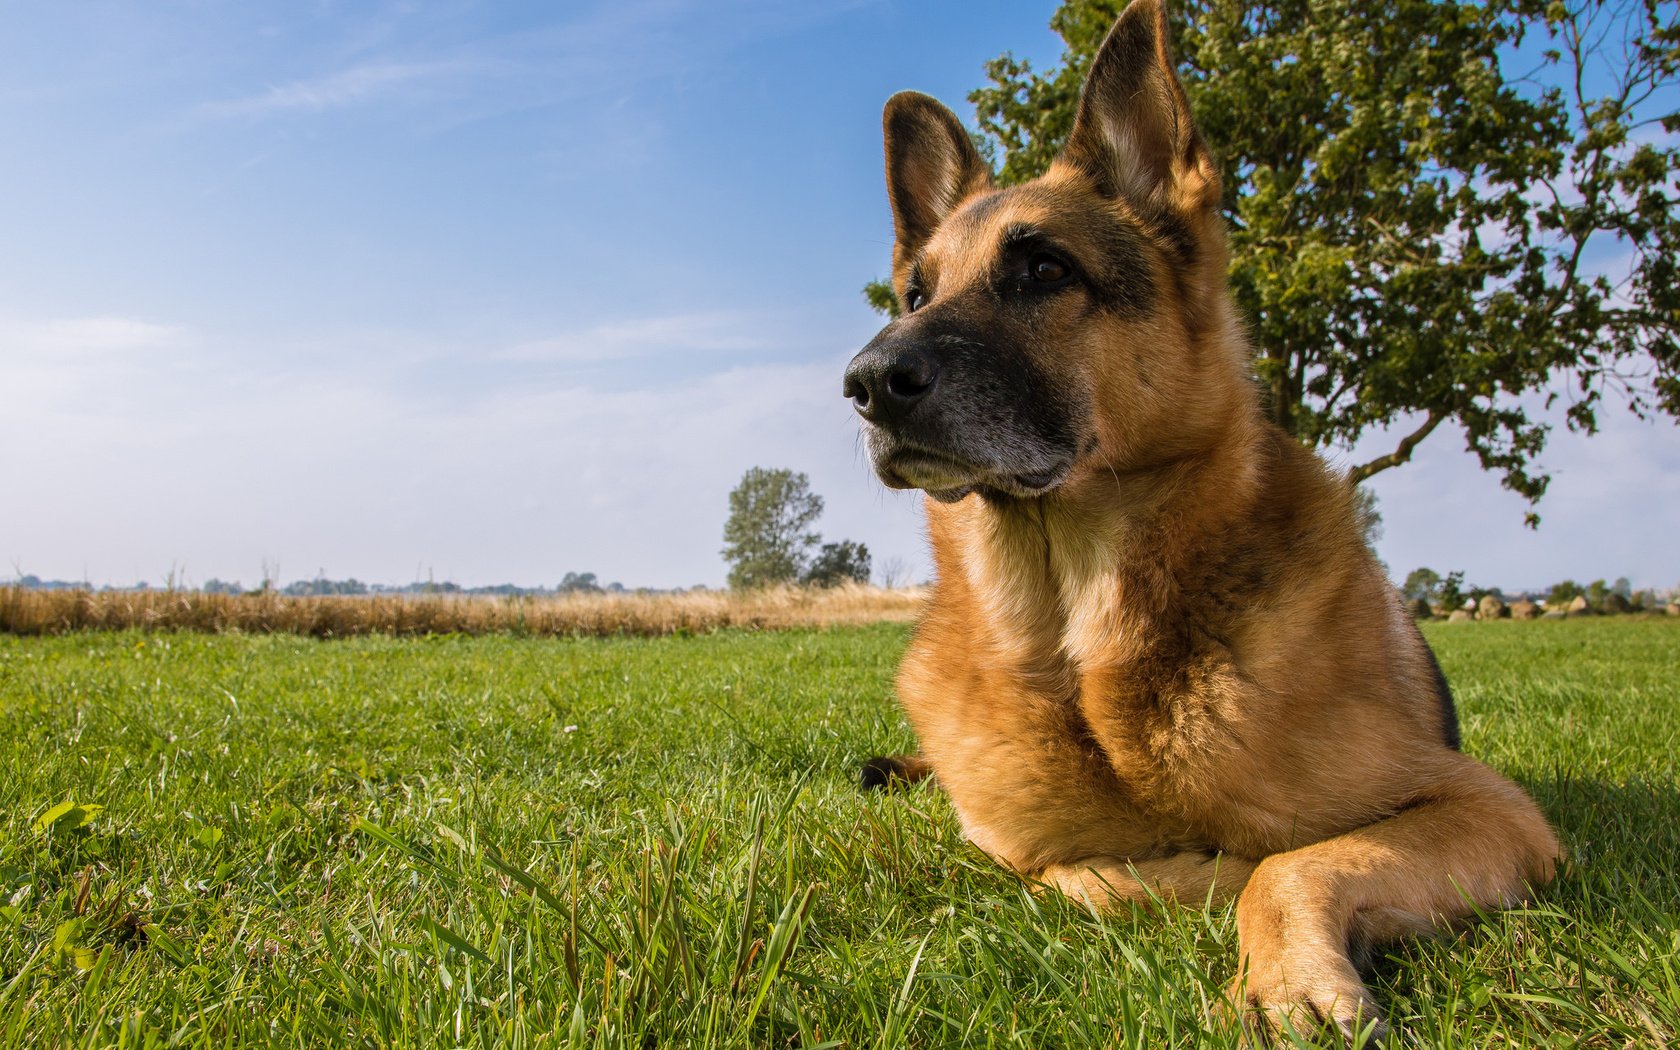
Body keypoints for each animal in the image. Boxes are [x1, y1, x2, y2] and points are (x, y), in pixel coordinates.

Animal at [840, 0, 1559, 1034]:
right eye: (915, 295)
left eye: (1043, 269)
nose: (863, 384)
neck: (1080, 652)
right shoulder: (1014, 848)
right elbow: (1084, 874)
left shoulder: (1492, 808)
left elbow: (1287, 863)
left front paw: (1281, 973)